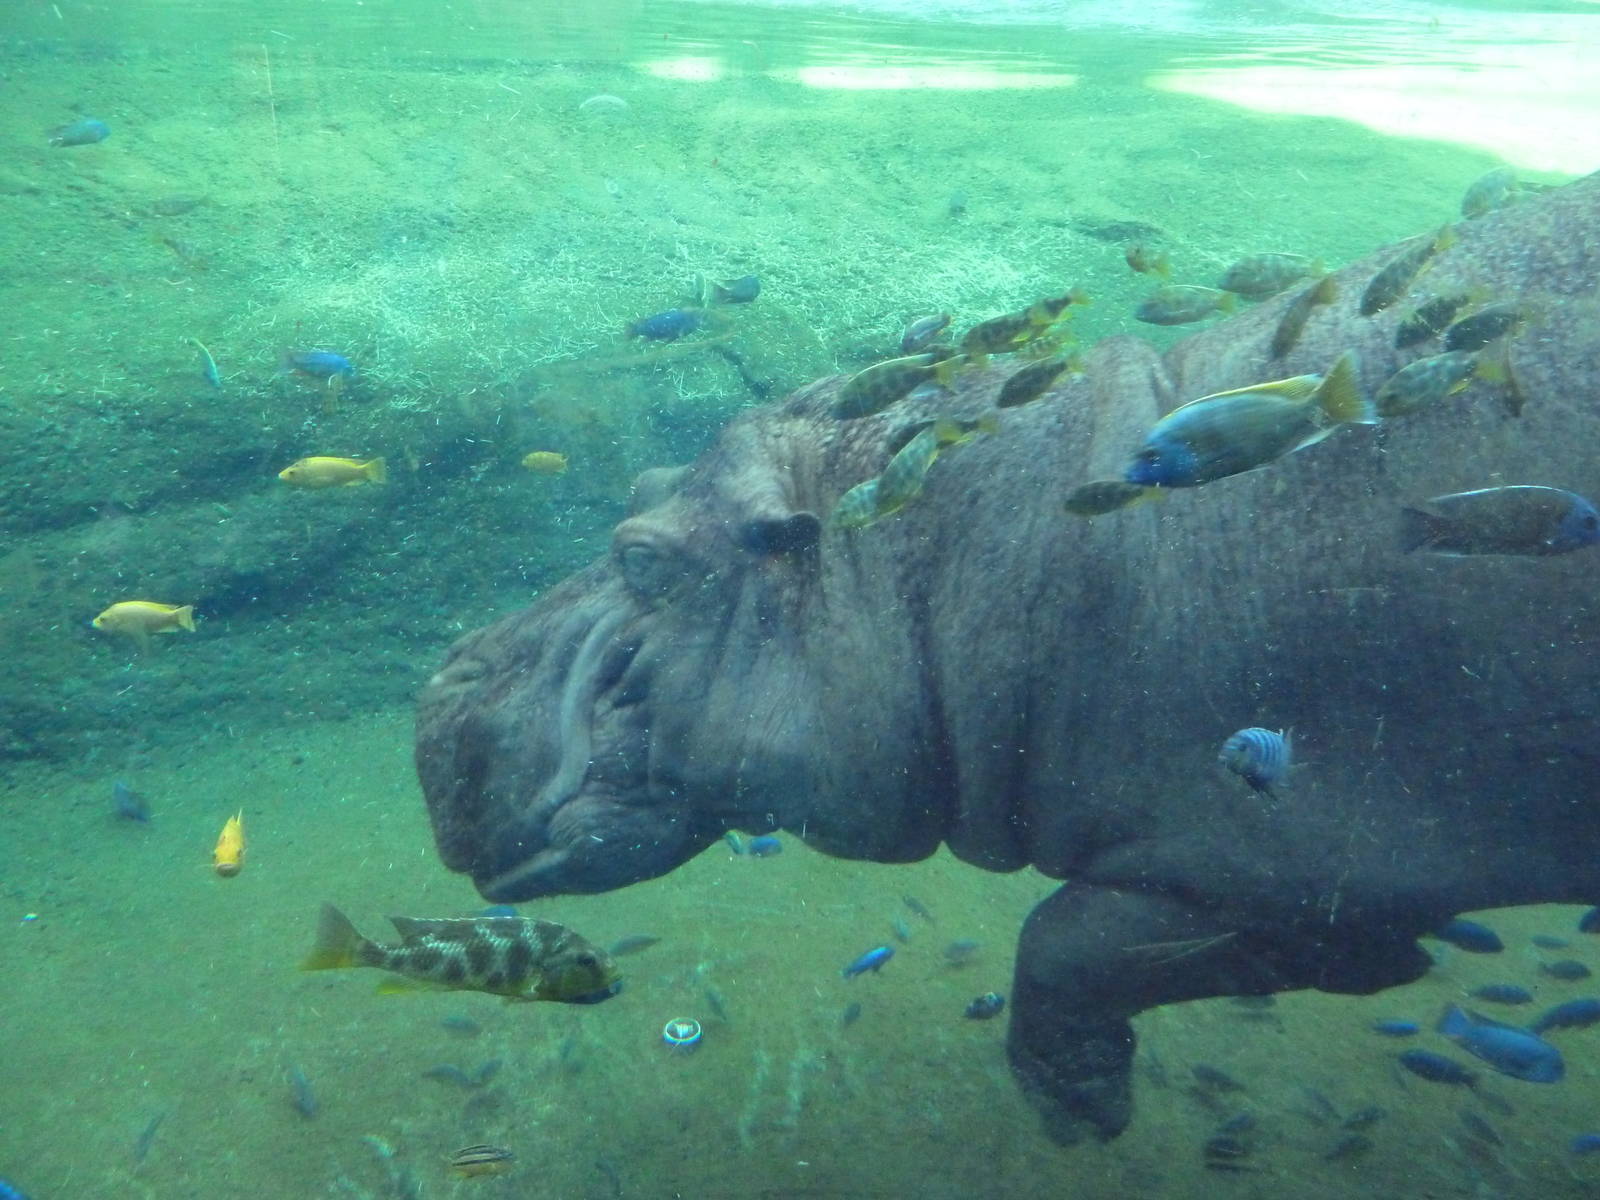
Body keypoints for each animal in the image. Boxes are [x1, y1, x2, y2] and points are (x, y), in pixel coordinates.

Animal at [416, 170, 1600, 1145]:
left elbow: (1063, 942)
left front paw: (1076, 1111)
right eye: (641, 479)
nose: (444, 680)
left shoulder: (1293, 867)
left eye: (643, 557)